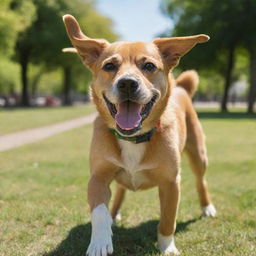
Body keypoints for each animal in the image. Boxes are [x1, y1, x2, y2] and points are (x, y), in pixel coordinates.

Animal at [62, 14, 216, 256]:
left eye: (149, 65)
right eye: (109, 65)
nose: (127, 83)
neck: (133, 138)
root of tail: (182, 88)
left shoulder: (171, 182)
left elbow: (168, 219)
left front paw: (167, 246)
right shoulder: (97, 176)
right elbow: (99, 211)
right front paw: (99, 242)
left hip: (199, 155)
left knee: (202, 181)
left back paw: (207, 207)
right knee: (119, 191)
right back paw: (114, 213)